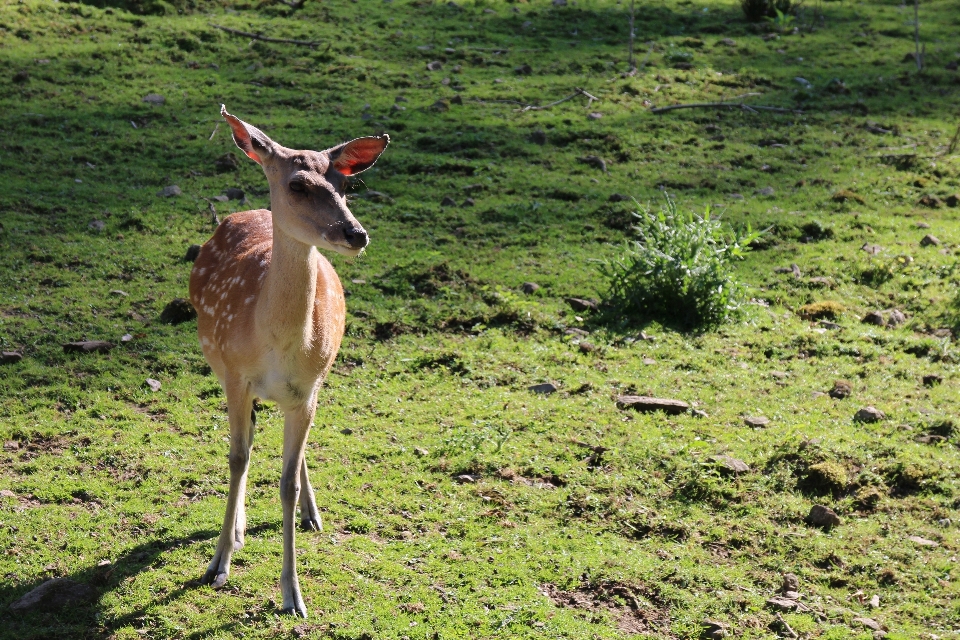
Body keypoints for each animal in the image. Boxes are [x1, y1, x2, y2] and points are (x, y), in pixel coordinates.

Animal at [189, 105, 388, 616]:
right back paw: (239, 530)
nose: (356, 234)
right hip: (220, 363)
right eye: (298, 185)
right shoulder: (235, 376)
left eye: (346, 185)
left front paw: (293, 594)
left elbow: (286, 482)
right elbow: (237, 458)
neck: (275, 342)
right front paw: (218, 563)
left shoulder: (306, 391)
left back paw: (311, 514)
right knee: (246, 445)